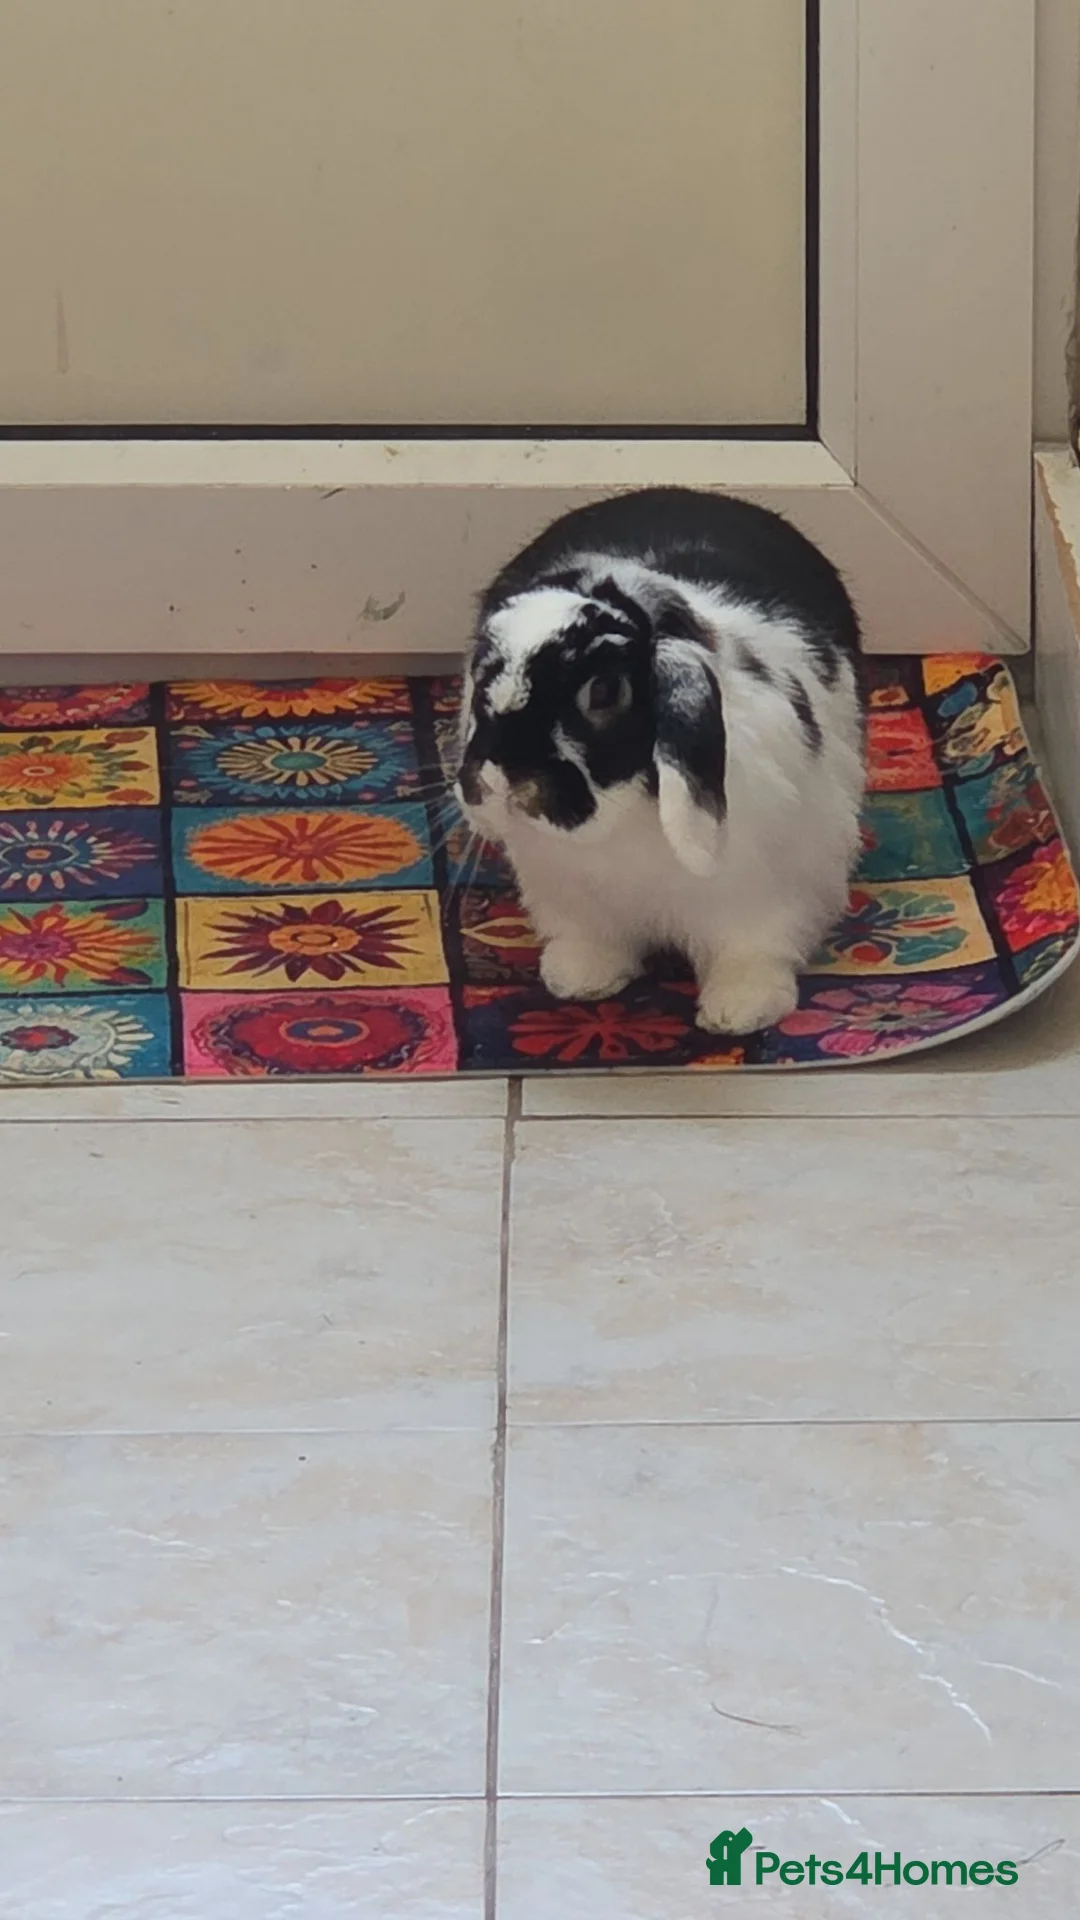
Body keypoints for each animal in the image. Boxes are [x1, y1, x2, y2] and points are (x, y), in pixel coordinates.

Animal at [454, 486, 866, 1035]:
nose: (504, 781)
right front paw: (581, 979)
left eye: (604, 691)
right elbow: (590, 938)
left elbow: (752, 950)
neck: (622, 818)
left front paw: (738, 1012)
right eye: (483, 680)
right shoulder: (570, 898)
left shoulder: (764, 898)